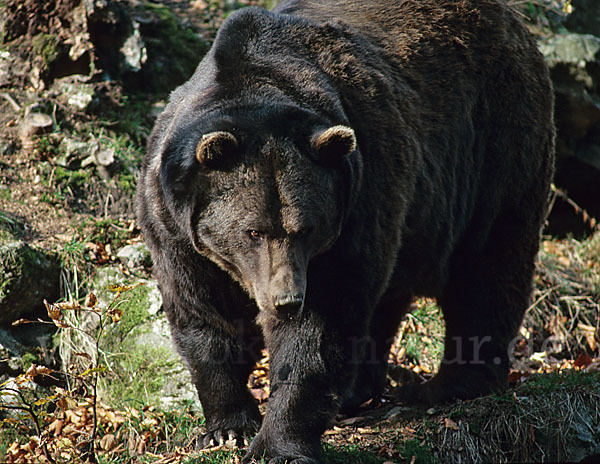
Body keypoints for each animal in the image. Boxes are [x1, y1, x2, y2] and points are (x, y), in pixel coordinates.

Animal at [135, 1, 552, 462]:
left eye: (304, 229)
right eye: (253, 231)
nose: (286, 300)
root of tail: (514, 22)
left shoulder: (353, 206)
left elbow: (320, 326)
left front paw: (280, 443)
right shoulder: (175, 228)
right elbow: (204, 315)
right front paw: (228, 427)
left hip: (492, 151)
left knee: (487, 266)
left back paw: (444, 387)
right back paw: (362, 392)